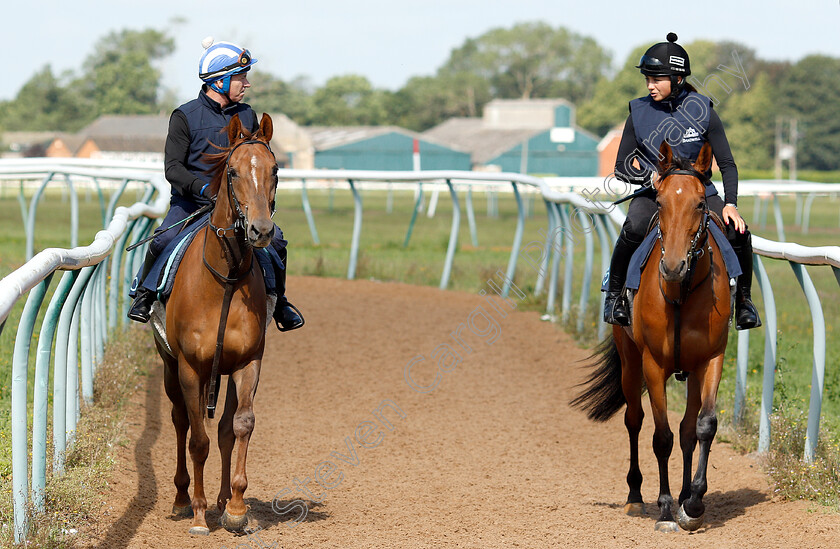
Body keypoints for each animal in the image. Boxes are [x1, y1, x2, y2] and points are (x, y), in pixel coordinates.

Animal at [151, 112, 278, 536]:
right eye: (233, 172)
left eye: (274, 170)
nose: (261, 230)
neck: (225, 279)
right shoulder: (191, 367)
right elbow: (197, 440)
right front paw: (199, 513)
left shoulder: (247, 362)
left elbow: (239, 426)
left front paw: (235, 508)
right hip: (171, 366)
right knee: (180, 422)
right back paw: (181, 499)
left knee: (222, 428)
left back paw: (223, 500)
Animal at [576, 140, 732, 532]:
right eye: (659, 202)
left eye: (700, 204)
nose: (673, 266)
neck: (680, 292)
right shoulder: (653, 364)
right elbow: (661, 437)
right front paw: (664, 509)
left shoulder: (711, 359)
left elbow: (703, 426)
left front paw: (692, 504)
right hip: (630, 361)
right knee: (634, 419)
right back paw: (635, 496)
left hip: (689, 370)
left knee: (688, 430)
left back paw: (683, 497)